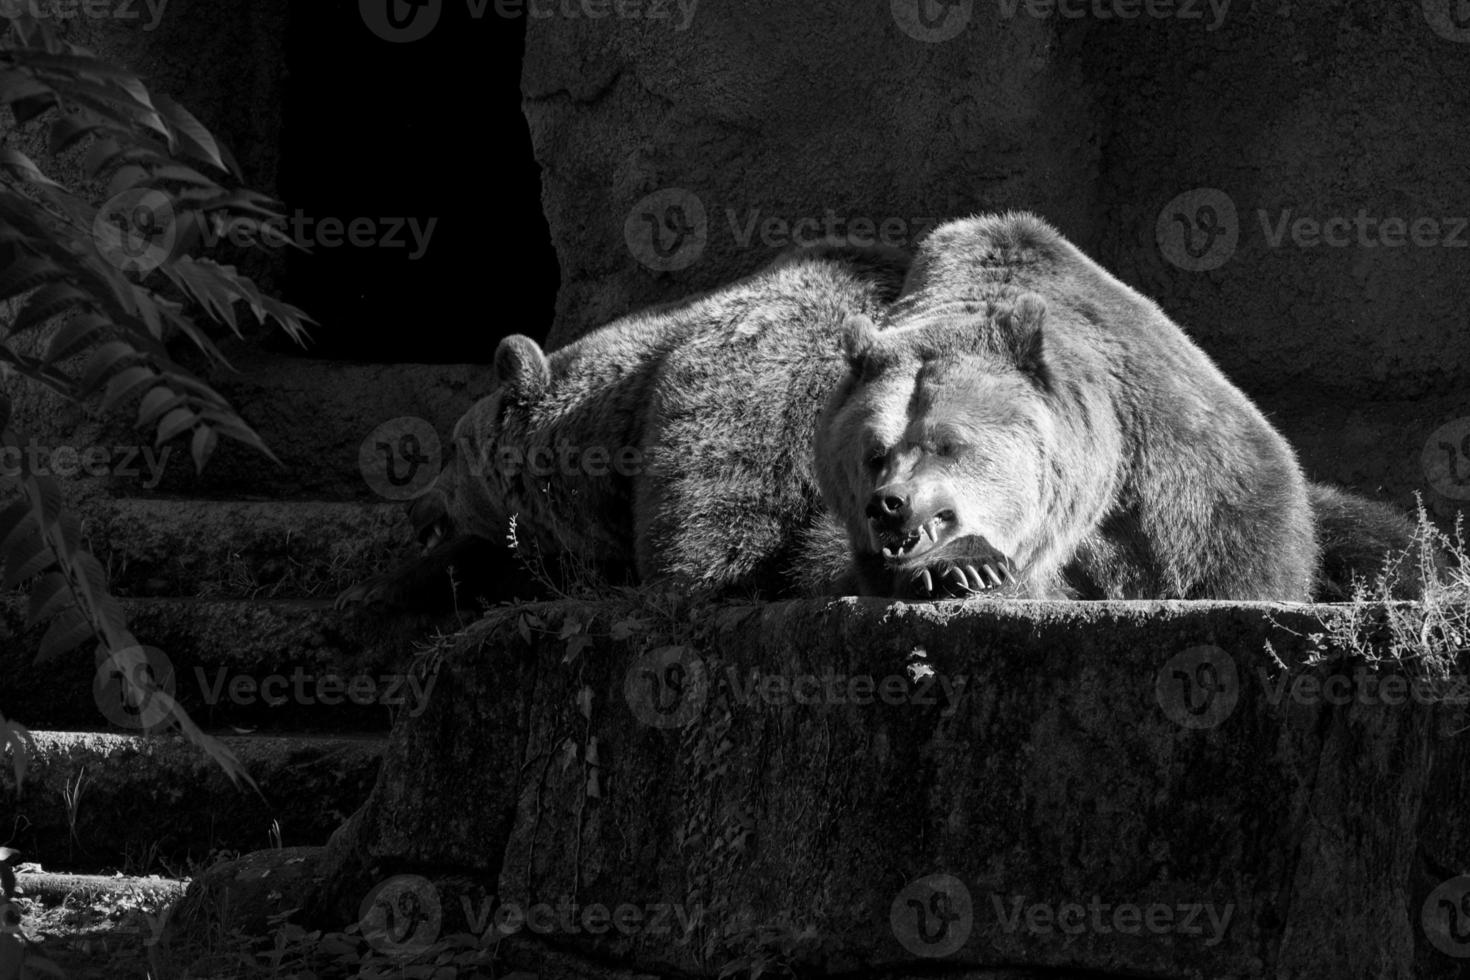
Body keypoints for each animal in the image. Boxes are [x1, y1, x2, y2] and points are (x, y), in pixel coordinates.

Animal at [817, 211, 1323, 602]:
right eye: (874, 455)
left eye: (947, 444)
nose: (891, 503)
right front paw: (961, 565)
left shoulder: (1180, 482)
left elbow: (1238, 556)